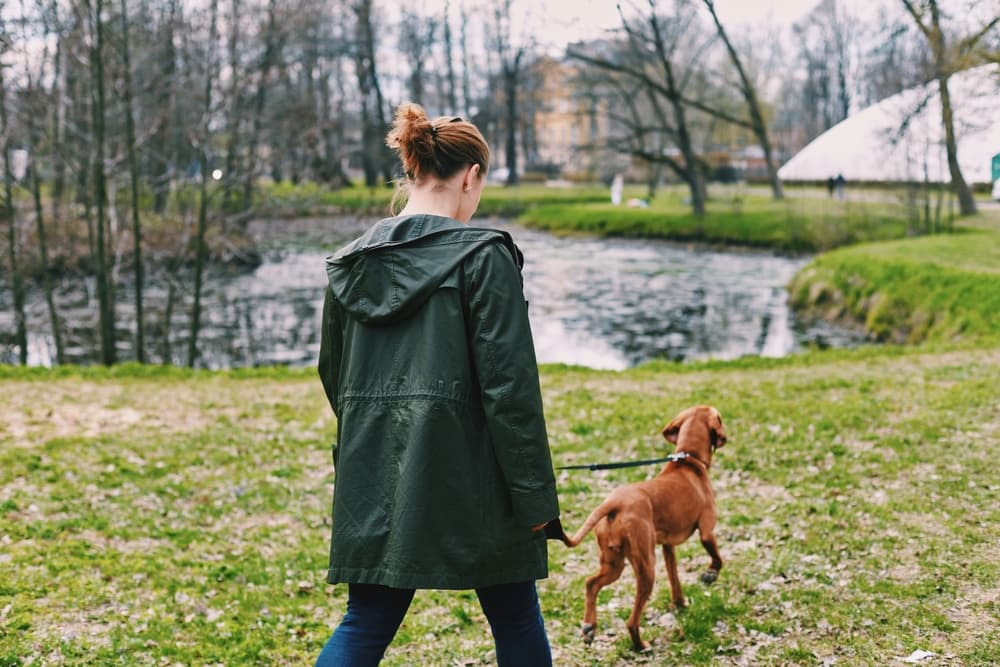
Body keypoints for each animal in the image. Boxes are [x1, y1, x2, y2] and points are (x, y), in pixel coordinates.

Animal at [556, 408, 728, 652]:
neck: (688, 459)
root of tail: (615, 502)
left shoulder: (667, 547)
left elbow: (675, 579)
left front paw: (680, 603)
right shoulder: (707, 531)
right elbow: (717, 558)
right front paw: (710, 574)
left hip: (614, 563)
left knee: (591, 583)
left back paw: (589, 626)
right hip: (646, 568)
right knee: (631, 620)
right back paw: (640, 644)